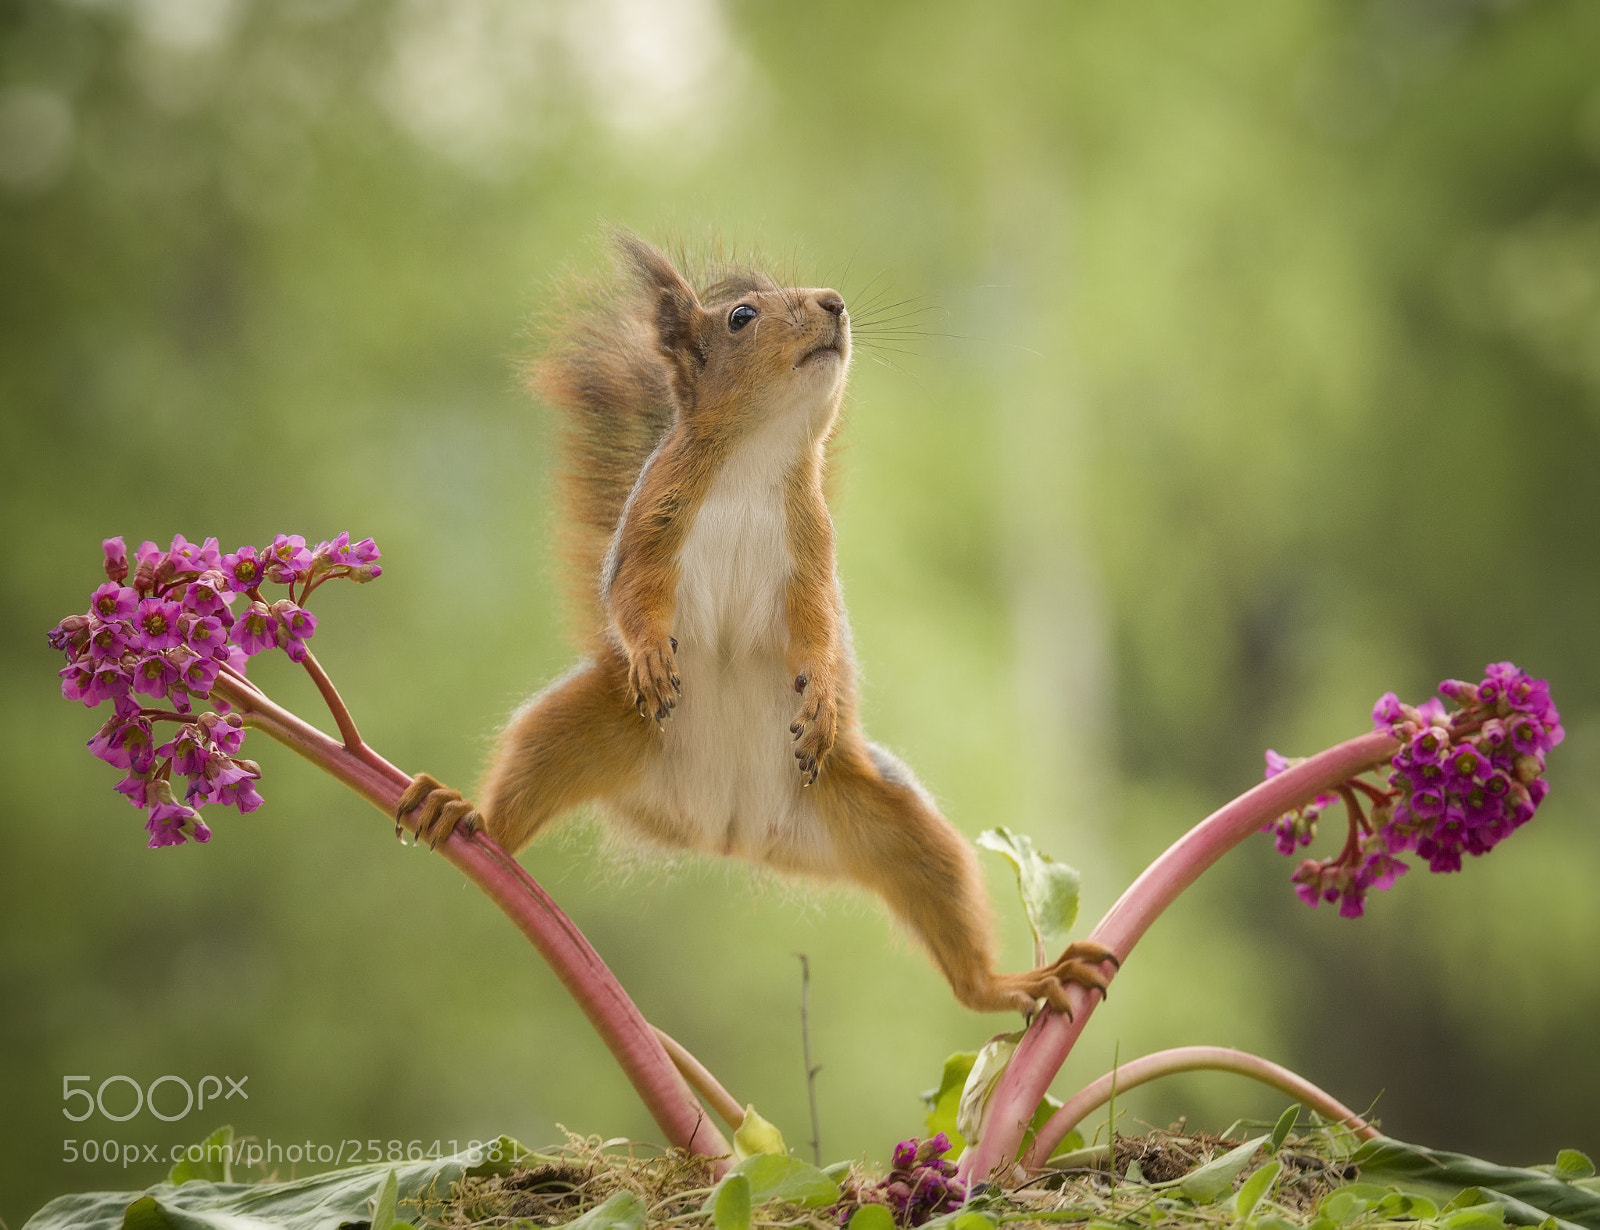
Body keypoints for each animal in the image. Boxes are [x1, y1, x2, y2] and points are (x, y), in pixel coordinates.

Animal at [396, 232, 1116, 1016]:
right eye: (742, 316)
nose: (835, 303)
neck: (756, 457)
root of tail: (725, 831)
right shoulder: (648, 527)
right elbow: (630, 597)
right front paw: (649, 652)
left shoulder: (813, 557)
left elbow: (820, 628)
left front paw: (824, 691)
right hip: (589, 729)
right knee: (521, 787)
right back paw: (464, 813)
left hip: (888, 818)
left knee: (949, 917)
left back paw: (1012, 983)